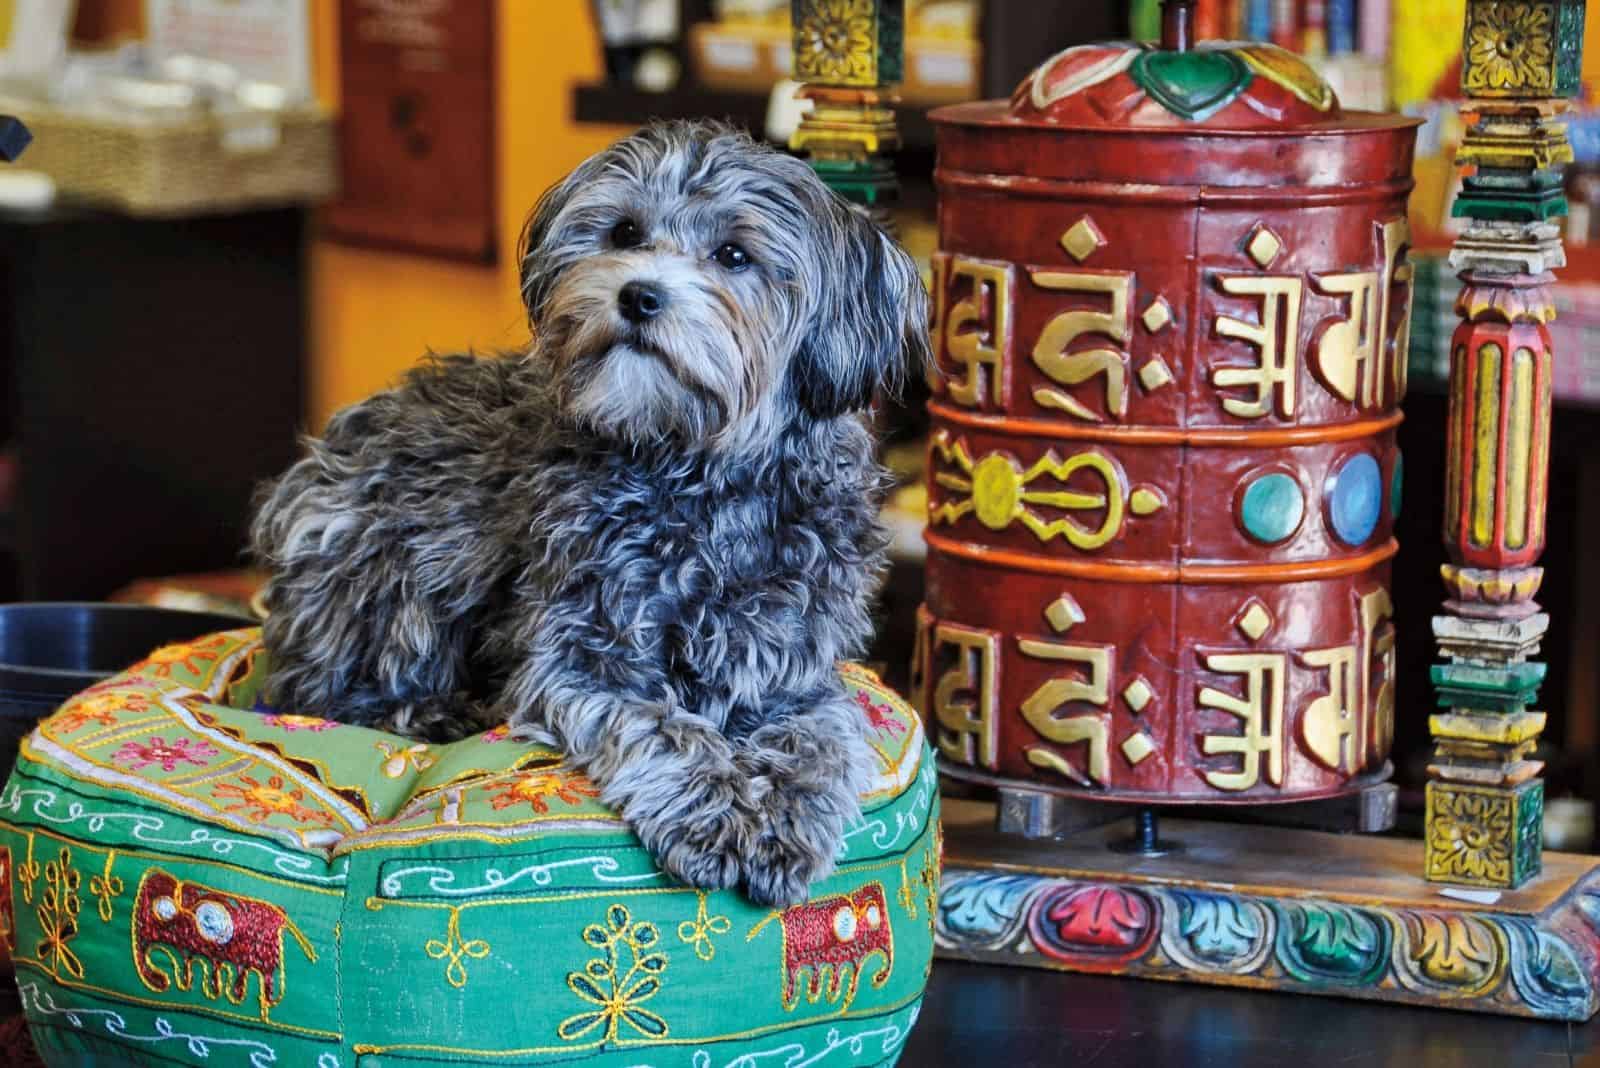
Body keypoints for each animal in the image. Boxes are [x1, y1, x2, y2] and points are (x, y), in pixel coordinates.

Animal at [246, 120, 928, 908]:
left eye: (734, 254)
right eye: (625, 231)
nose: (639, 295)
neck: (696, 478)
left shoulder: (790, 671)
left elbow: (822, 737)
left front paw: (788, 816)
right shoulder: (579, 660)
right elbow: (663, 727)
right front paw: (716, 812)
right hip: (400, 563)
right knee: (325, 691)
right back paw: (448, 709)